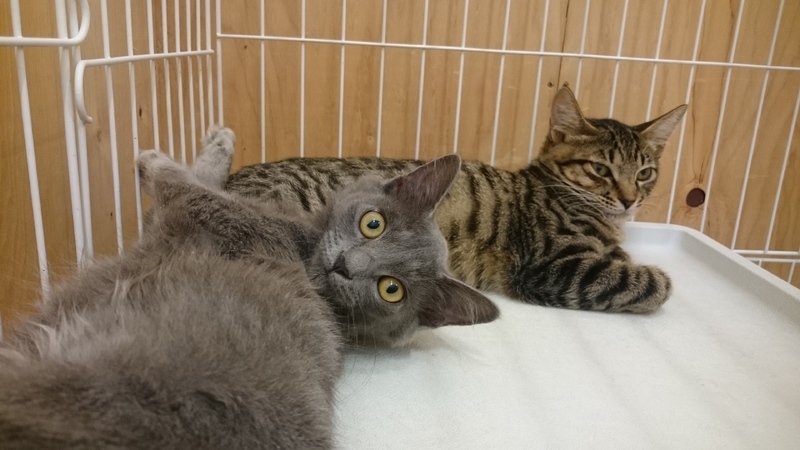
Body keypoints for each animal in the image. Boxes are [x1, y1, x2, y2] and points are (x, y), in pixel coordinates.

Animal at [0, 127, 498, 449]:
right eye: (373, 224)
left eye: (391, 289)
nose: (346, 265)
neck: (306, 239)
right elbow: (196, 182)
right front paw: (220, 142)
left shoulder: (228, 218)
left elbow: (186, 183)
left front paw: (154, 158)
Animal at [226, 86, 688, 314]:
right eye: (600, 170)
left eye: (645, 173)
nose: (629, 200)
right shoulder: (554, 268)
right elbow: (650, 282)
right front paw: (655, 278)